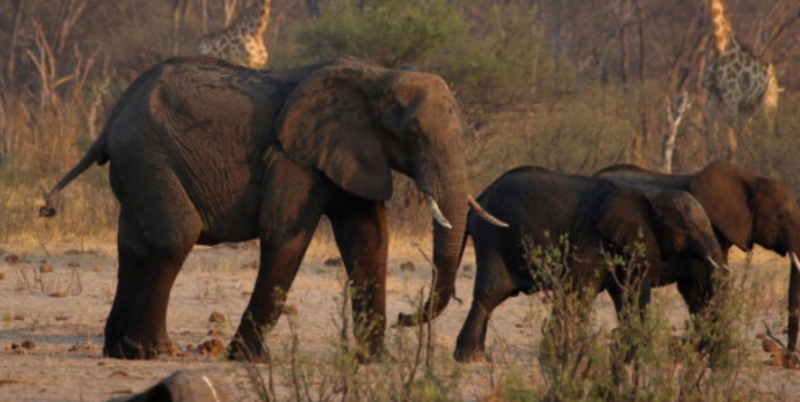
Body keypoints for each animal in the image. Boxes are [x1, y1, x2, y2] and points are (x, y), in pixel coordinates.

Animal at [42, 55, 500, 362]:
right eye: (414, 133)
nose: (407, 317)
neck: (376, 75)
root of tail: (111, 121)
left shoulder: (351, 151)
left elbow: (369, 240)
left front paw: (372, 362)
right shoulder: (293, 157)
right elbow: (286, 236)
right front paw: (248, 360)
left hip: (136, 165)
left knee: (134, 245)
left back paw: (119, 351)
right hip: (148, 157)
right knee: (176, 236)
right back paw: (154, 352)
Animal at [454, 166, 728, 362]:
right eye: (687, 228)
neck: (649, 194)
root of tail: (479, 196)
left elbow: (631, 293)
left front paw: (632, 356)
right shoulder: (590, 238)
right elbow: (579, 292)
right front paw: (559, 357)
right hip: (492, 236)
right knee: (491, 292)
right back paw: (470, 359)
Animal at [704, 0, 780, 162]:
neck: (719, 47)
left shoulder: (731, 97)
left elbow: (731, 145)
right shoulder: (711, 95)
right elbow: (712, 142)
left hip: (769, 103)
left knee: (768, 135)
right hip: (748, 107)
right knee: (746, 133)